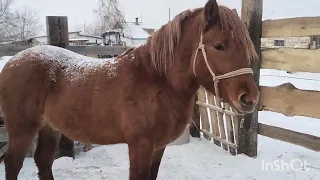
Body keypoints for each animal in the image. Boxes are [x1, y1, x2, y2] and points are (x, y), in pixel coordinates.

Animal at [0, 0, 258, 179]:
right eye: (219, 45)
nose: (249, 98)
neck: (156, 80)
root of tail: (11, 63)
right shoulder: (140, 147)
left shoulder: (157, 148)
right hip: (22, 130)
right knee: (13, 163)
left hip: (49, 127)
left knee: (43, 162)